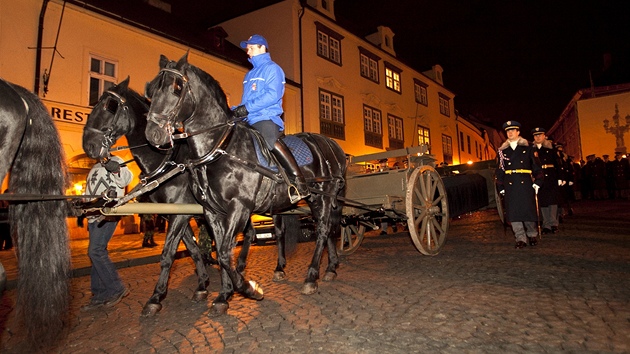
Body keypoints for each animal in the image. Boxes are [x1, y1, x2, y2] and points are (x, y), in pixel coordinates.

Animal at [81, 77, 225, 316]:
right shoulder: (174, 215)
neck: (167, 163)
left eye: (110, 105)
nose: (88, 144)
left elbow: (167, 254)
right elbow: (193, 249)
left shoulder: (179, 215)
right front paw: (202, 285)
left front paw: (156, 298)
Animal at [145, 53, 348, 316]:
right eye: (150, 89)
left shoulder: (239, 207)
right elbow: (222, 251)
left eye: (177, 88)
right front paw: (224, 295)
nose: (153, 134)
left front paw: (250, 289)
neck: (220, 149)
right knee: (328, 230)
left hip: (323, 196)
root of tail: (333, 146)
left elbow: (224, 253)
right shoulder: (212, 212)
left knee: (323, 230)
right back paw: (330, 268)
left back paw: (311, 277)